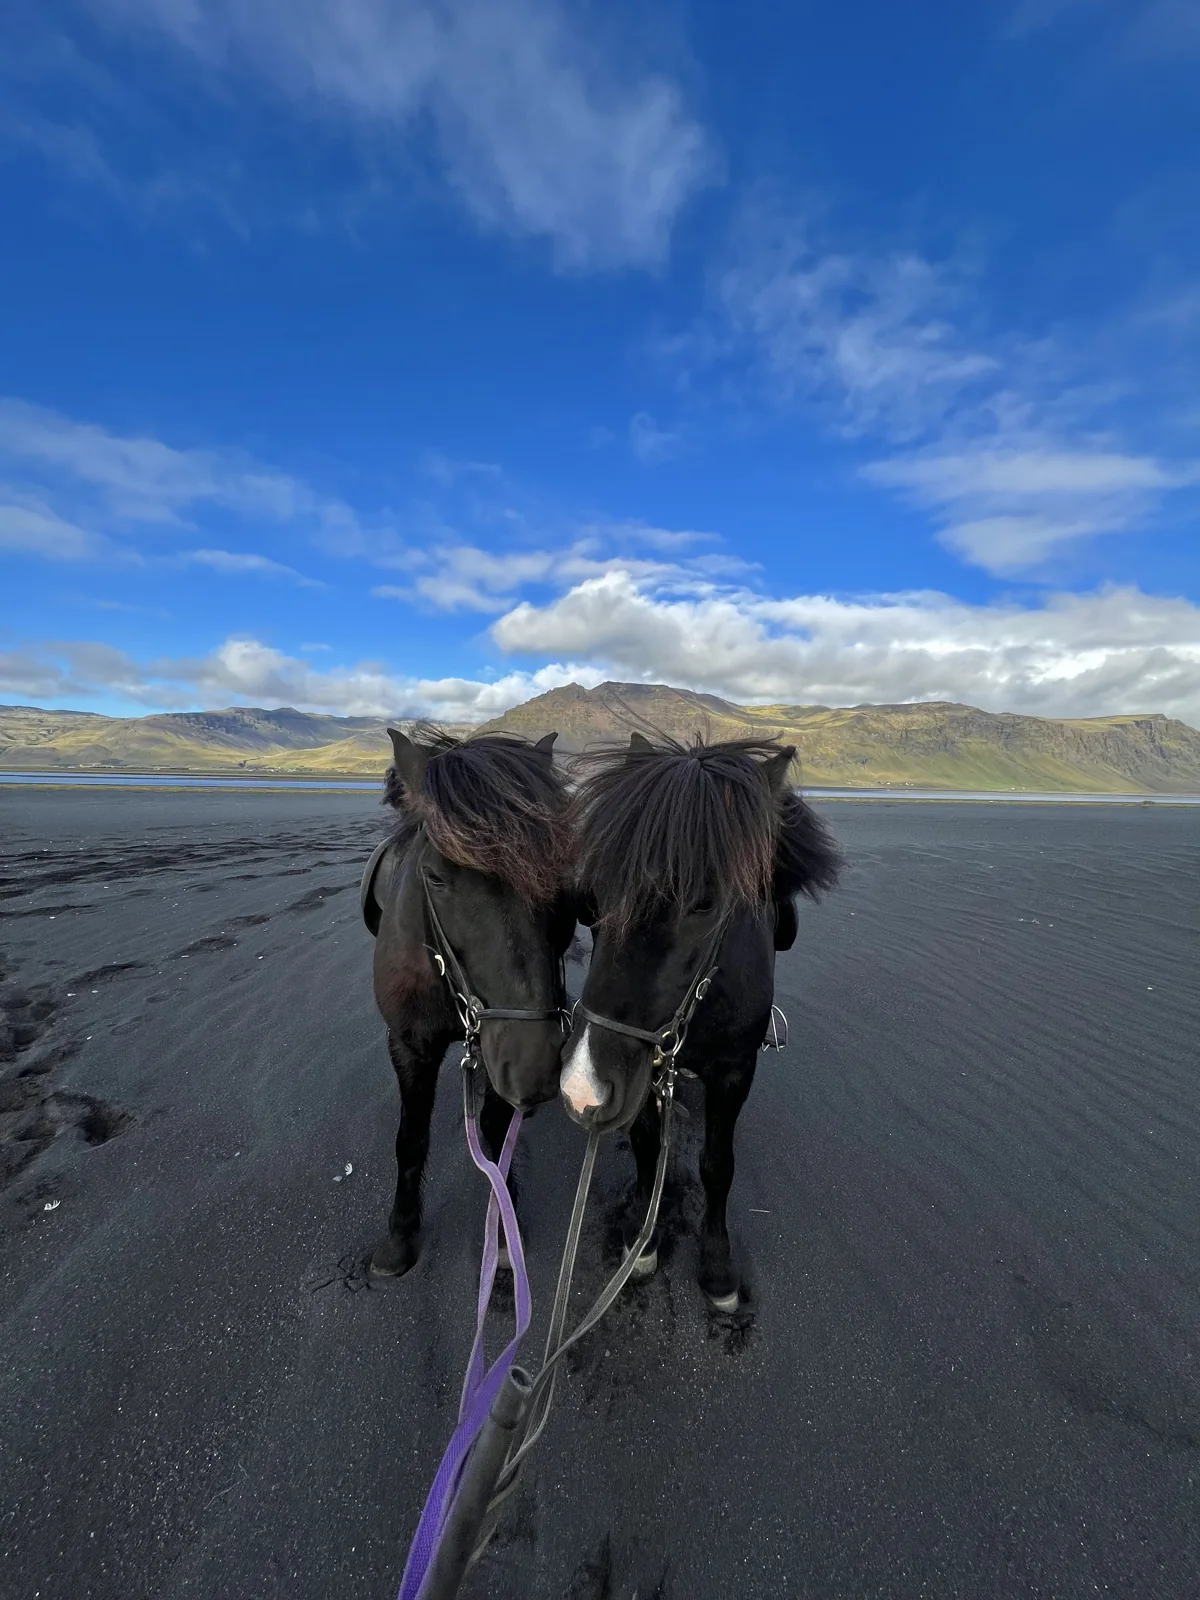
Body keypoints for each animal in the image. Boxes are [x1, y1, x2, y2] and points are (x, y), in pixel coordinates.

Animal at [361, 726, 577, 1278]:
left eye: (559, 874)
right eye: (436, 876)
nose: (534, 1069)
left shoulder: (503, 1050)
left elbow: (496, 1134)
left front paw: (503, 1226)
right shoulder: (409, 1044)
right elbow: (410, 1137)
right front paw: (401, 1234)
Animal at [559, 733, 841, 1312]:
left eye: (705, 905)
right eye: (592, 896)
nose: (582, 1087)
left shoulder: (734, 1072)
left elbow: (717, 1165)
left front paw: (715, 1265)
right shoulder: (640, 1072)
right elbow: (647, 1145)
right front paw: (642, 1243)